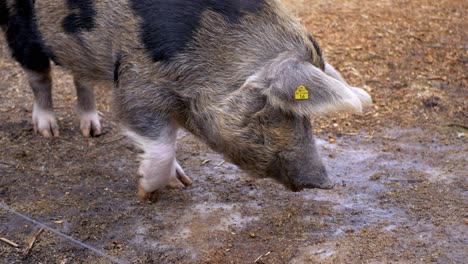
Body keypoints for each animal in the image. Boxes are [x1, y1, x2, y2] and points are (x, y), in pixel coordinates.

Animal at [0, 0, 372, 200]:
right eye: (276, 107)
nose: (324, 182)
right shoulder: (136, 80)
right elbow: (159, 143)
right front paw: (147, 191)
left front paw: (182, 181)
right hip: (19, 22)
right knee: (39, 74)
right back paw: (47, 130)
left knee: (81, 77)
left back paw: (93, 130)